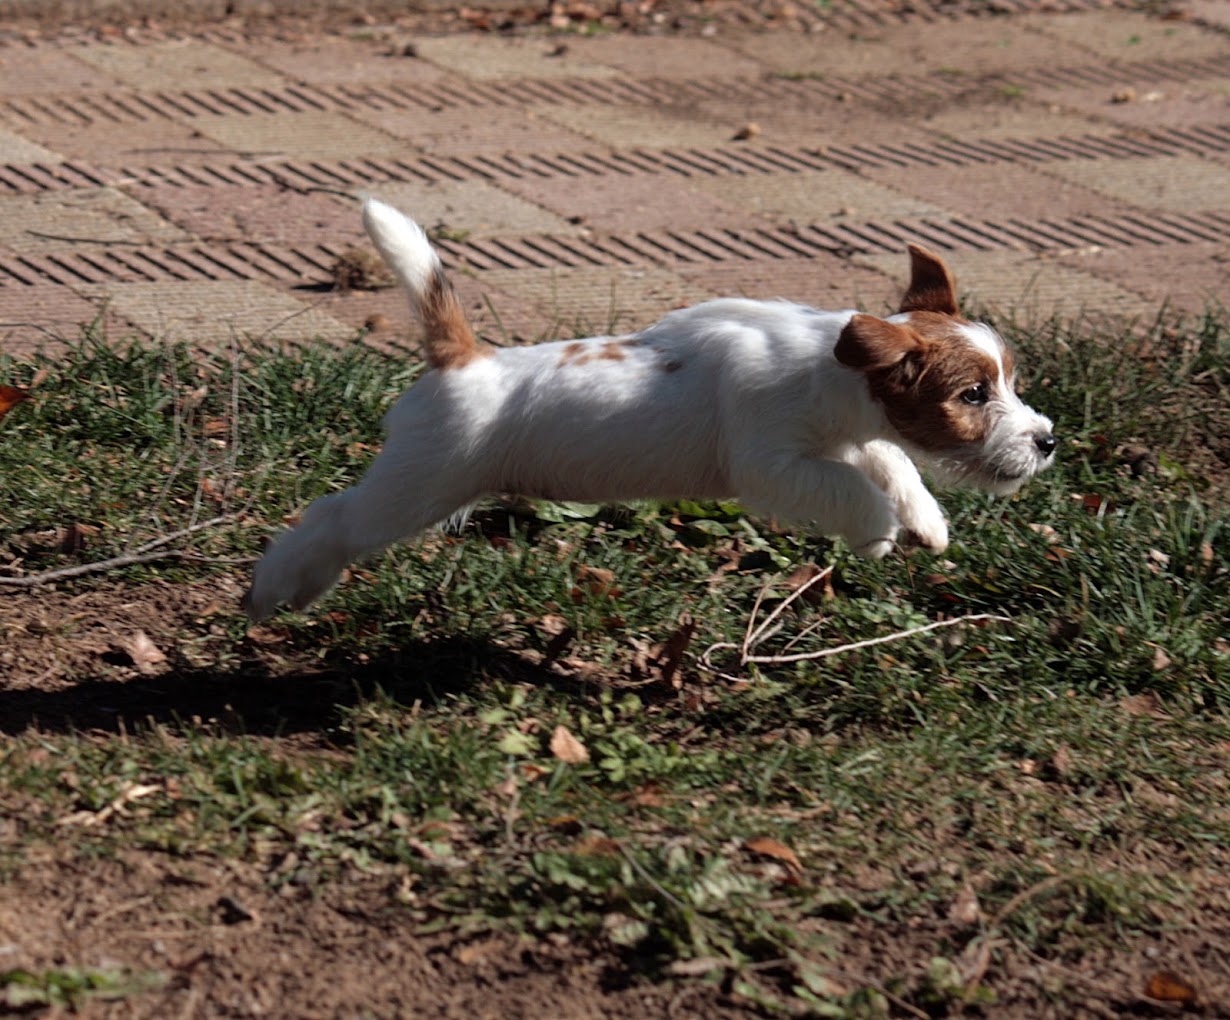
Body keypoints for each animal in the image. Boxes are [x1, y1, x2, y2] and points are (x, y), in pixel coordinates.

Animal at [242, 194, 1057, 617]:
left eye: (1009, 382)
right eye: (973, 394)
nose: (1047, 441)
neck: (829, 373)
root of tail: (462, 358)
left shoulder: (845, 437)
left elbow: (890, 459)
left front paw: (925, 519)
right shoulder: (772, 465)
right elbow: (852, 484)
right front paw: (881, 529)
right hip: (417, 485)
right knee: (333, 519)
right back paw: (276, 588)